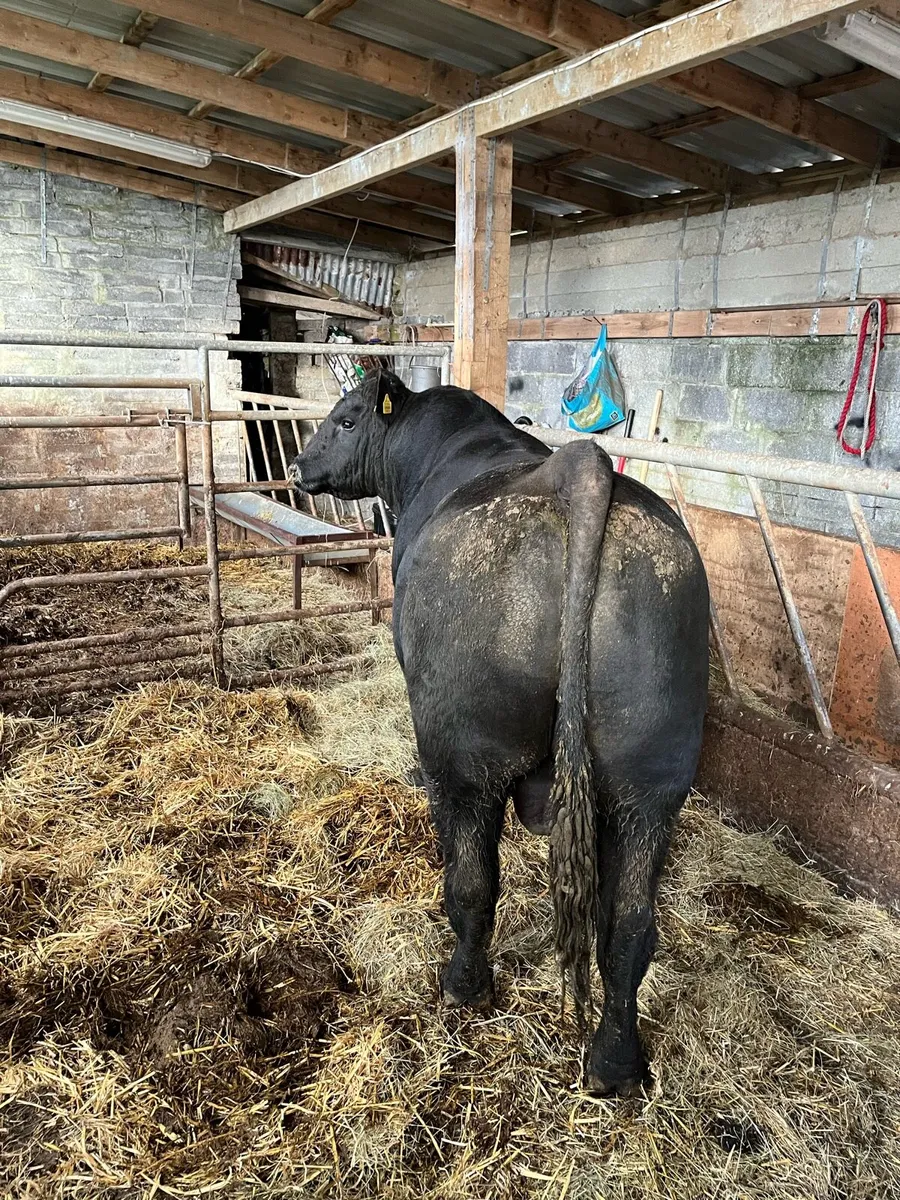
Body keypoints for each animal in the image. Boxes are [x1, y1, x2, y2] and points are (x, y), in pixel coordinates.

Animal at [290, 369, 709, 1097]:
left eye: (344, 418)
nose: (297, 464)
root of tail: (579, 471)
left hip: (465, 758)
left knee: (472, 883)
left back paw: (463, 987)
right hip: (653, 780)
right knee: (630, 926)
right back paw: (615, 1064)